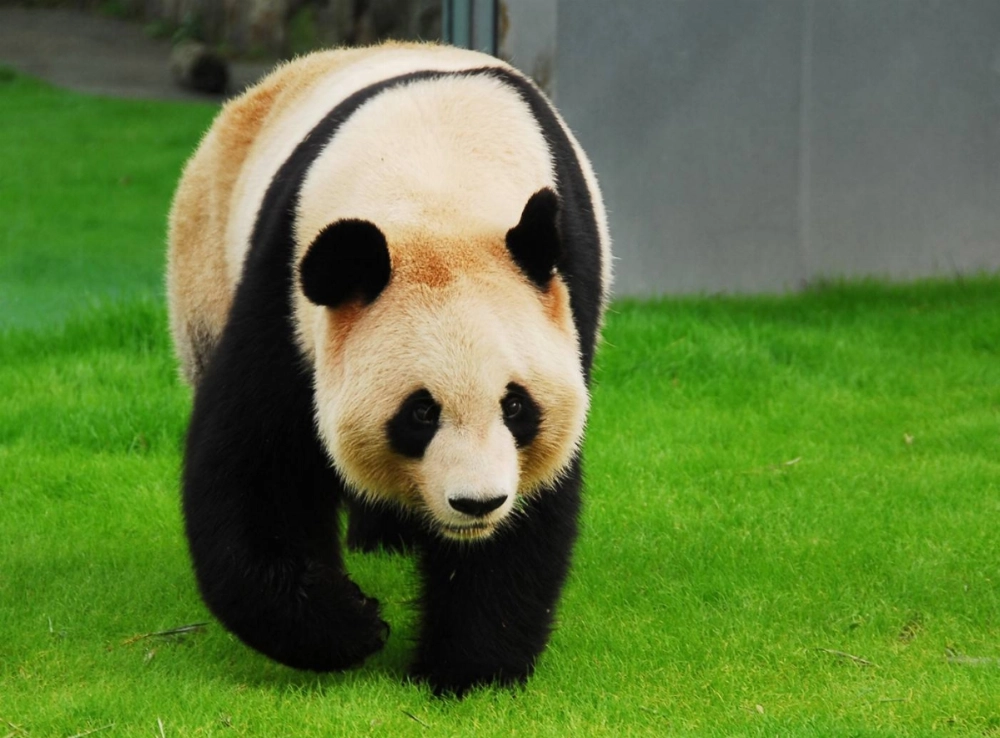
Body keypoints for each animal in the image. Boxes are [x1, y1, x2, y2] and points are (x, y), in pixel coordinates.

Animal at [167, 42, 610, 697]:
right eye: (420, 412)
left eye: (515, 406)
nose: (476, 503)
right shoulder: (285, 292)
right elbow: (259, 466)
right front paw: (352, 624)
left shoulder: (564, 290)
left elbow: (532, 511)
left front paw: (464, 670)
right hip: (206, 257)